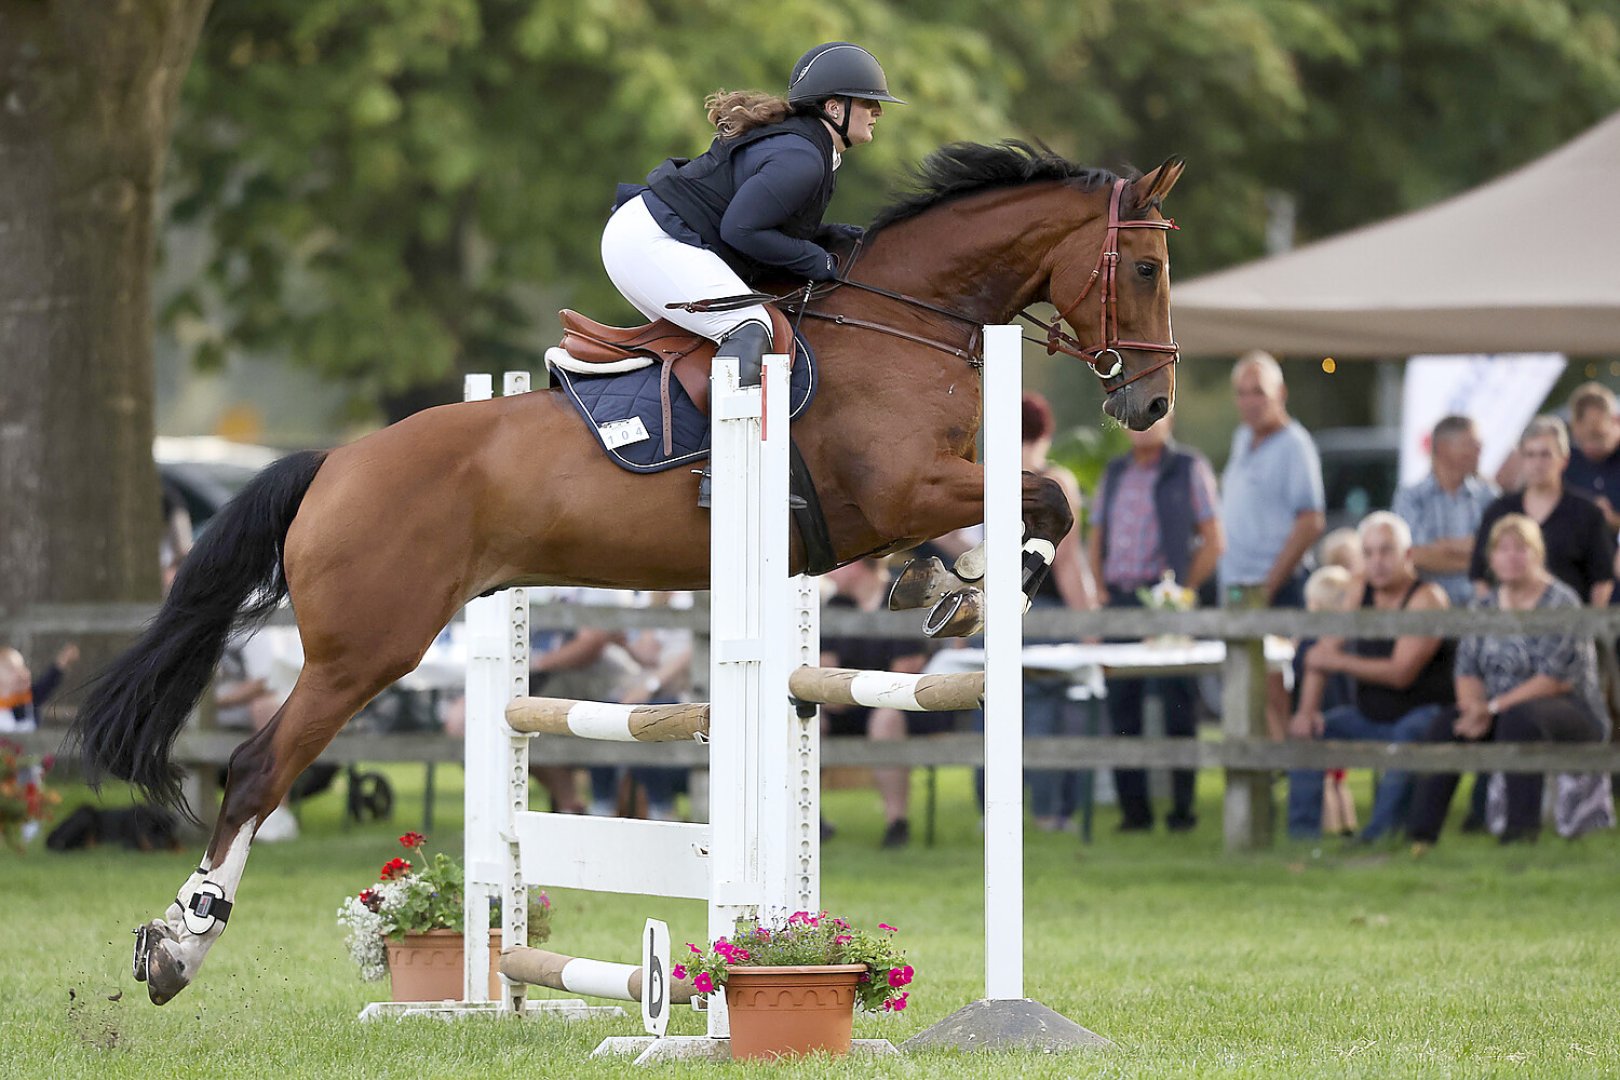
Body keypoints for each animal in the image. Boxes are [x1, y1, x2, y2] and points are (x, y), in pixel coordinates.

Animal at [76, 141, 1185, 1003]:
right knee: (258, 769)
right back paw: (180, 944)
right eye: (1143, 269)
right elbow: (1048, 496)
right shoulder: (905, 486)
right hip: (364, 652)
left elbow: (1002, 514)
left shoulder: (888, 509)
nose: (1152, 405)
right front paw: (999, 583)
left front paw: (943, 586)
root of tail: (336, 463)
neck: (904, 321)